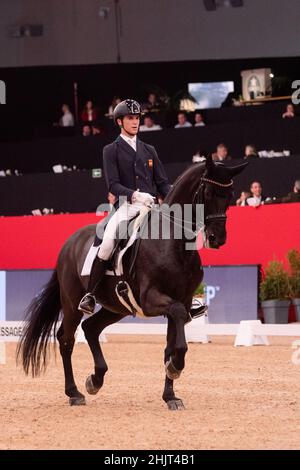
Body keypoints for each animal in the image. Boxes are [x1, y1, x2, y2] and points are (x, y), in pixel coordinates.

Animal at [17, 156, 246, 410]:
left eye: (231, 194)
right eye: (208, 192)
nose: (218, 239)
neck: (172, 242)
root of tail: (69, 243)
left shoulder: (183, 301)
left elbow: (170, 346)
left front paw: (170, 395)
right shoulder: (152, 299)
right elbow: (177, 331)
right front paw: (175, 368)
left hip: (116, 308)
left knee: (90, 328)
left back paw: (95, 380)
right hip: (72, 302)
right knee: (66, 338)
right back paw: (74, 392)